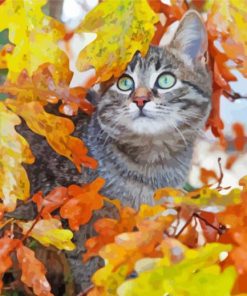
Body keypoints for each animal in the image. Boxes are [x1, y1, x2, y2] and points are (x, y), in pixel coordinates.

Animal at [14, 9, 211, 294]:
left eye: (165, 80)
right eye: (125, 83)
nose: (140, 99)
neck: (150, 166)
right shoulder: (75, 227)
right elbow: (90, 270)